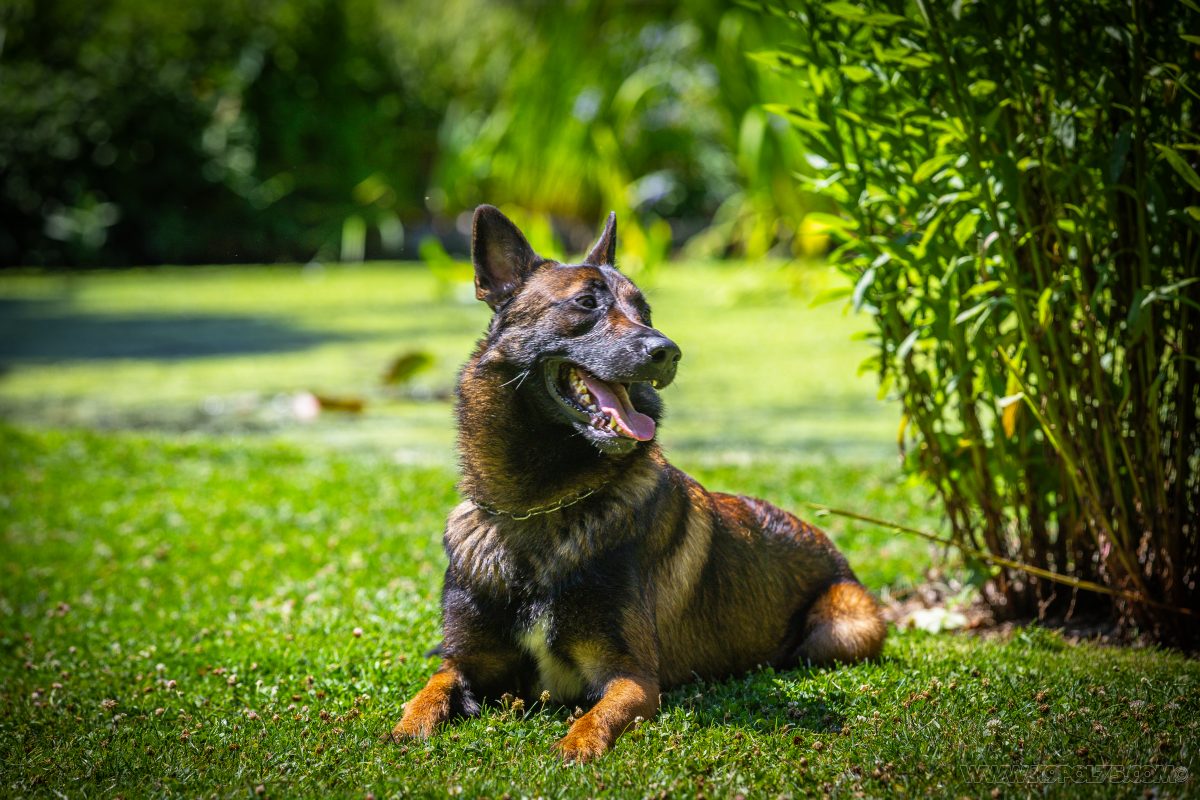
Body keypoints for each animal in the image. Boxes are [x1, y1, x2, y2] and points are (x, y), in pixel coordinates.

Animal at [392, 205, 886, 762]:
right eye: (586, 303)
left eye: (645, 312)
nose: (667, 351)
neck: (542, 508)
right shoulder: (465, 663)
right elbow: (428, 692)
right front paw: (407, 729)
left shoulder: (631, 676)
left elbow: (595, 717)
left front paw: (575, 747)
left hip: (844, 628)